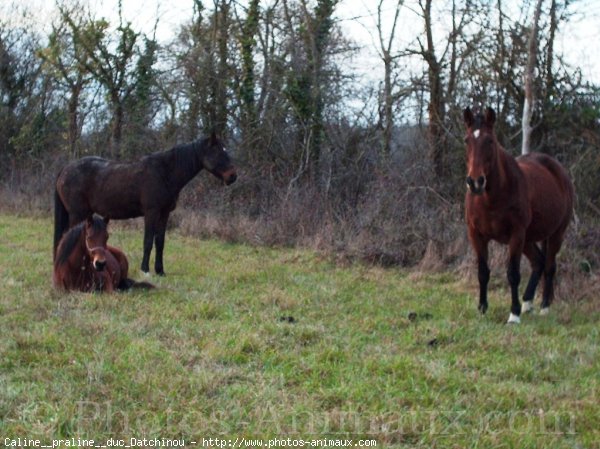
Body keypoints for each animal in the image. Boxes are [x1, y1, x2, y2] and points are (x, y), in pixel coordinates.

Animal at [462, 107, 576, 322]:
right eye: (466, 140)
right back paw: (527, 303)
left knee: (549, 266)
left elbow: (513, 274)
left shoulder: (516, 235)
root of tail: (558, 170)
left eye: (490, 141)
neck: (492, 197)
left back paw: (544, 306)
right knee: (538, 262)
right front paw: (482, 309)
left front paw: (513, 314)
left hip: (555, 234)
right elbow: (483, 272)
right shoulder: (476, 235)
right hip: (528, 239)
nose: (475, 182)